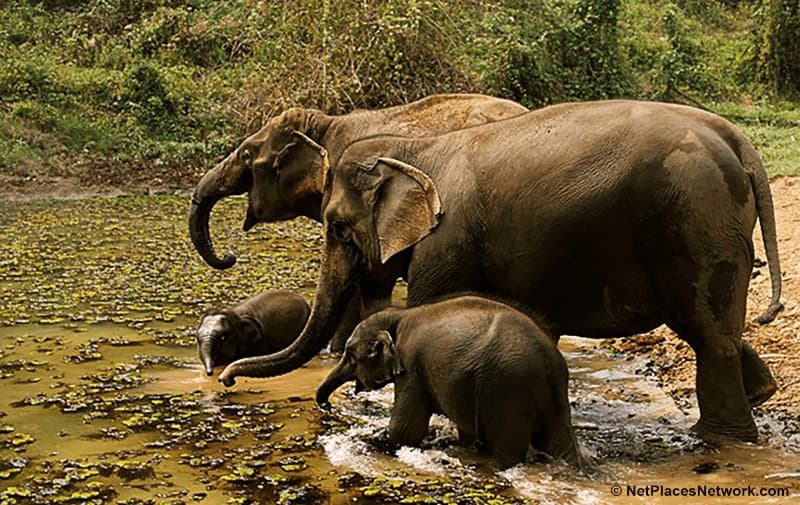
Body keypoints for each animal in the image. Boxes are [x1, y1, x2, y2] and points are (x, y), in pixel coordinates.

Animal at [218, 99, 783, 444]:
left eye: (336, 226)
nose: (223, 380)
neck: (413, 150)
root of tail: (736, 139)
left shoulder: (445, 241)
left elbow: (429, 310)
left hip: (697, 218)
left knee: (707, 335)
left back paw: (720, 439)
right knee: (713, 330)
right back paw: (760, 398)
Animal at [315, 296, 585, 470]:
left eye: (350, 354)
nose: (328, 406)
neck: (399, 314)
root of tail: (546, 358)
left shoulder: (412, 366)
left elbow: (405, 430)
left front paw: (376, 441)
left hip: (508, 390)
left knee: (508, 451)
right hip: (547, 392)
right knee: (558, 441)